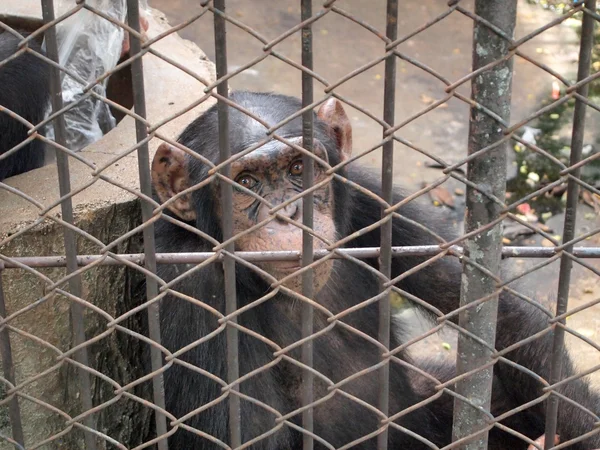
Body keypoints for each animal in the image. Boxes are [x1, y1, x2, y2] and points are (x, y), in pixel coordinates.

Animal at [150, 92, 600, 450]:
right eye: (245, 181)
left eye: (298, 168)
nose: (289, 213)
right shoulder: (190, 282)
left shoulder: (373, 201)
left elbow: (499, 317)